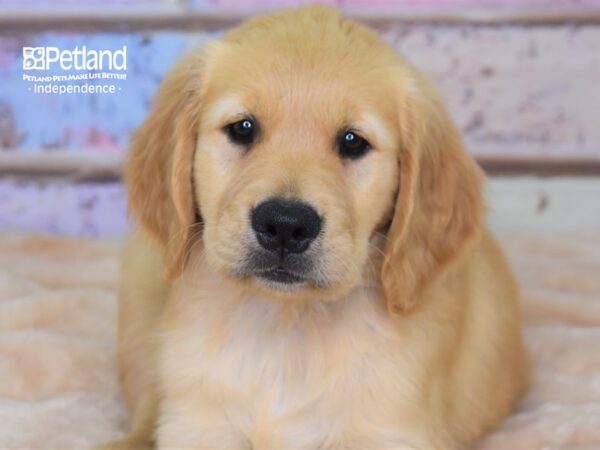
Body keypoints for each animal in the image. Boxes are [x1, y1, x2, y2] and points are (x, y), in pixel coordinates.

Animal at [105, 5, 528, 448]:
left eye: (353, 141)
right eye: (243, 128)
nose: (285, 225)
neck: (286, 323)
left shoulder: (391, 430)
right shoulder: (197, 423)